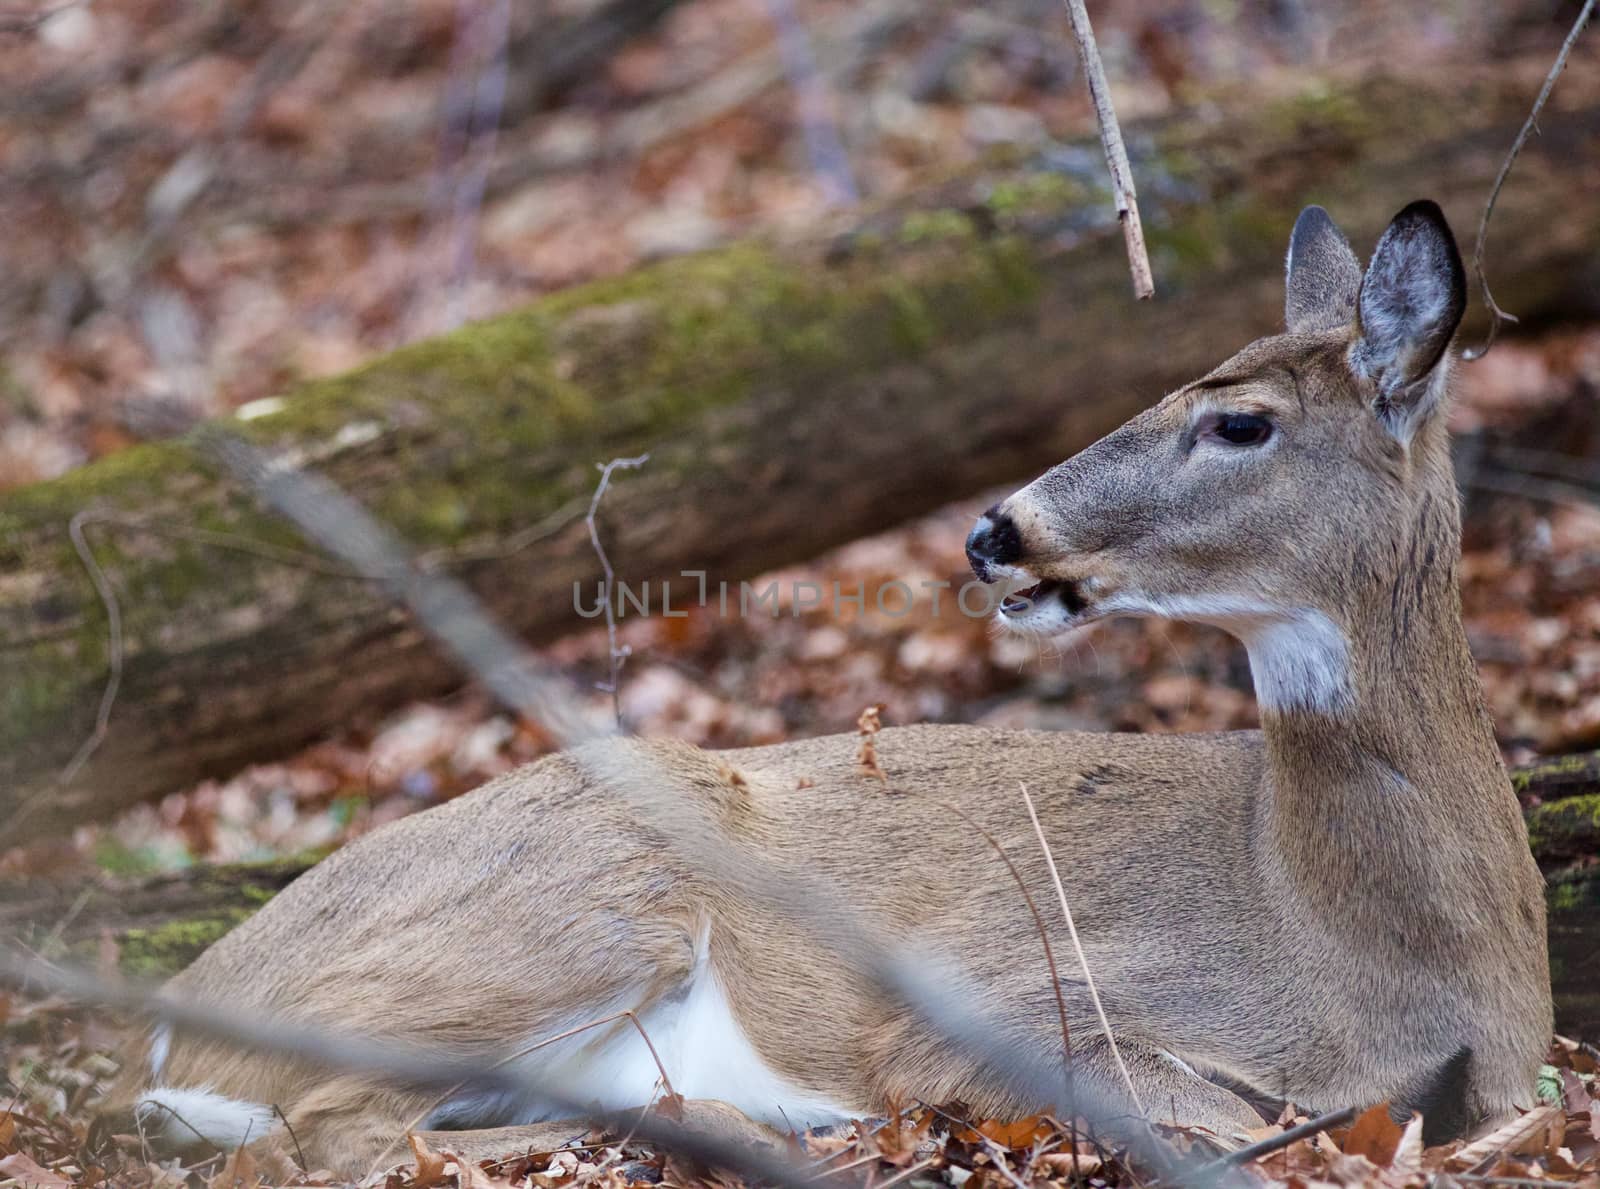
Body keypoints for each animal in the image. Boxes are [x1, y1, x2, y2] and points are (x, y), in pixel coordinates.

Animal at [116, 200, 1548, 1177]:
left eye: (1238, 420)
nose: (993, 532)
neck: (1360, 947)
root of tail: (179, 1019)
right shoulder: (1007, 997)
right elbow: (1206, 1118)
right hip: (584, 894)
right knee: (333, 1130)